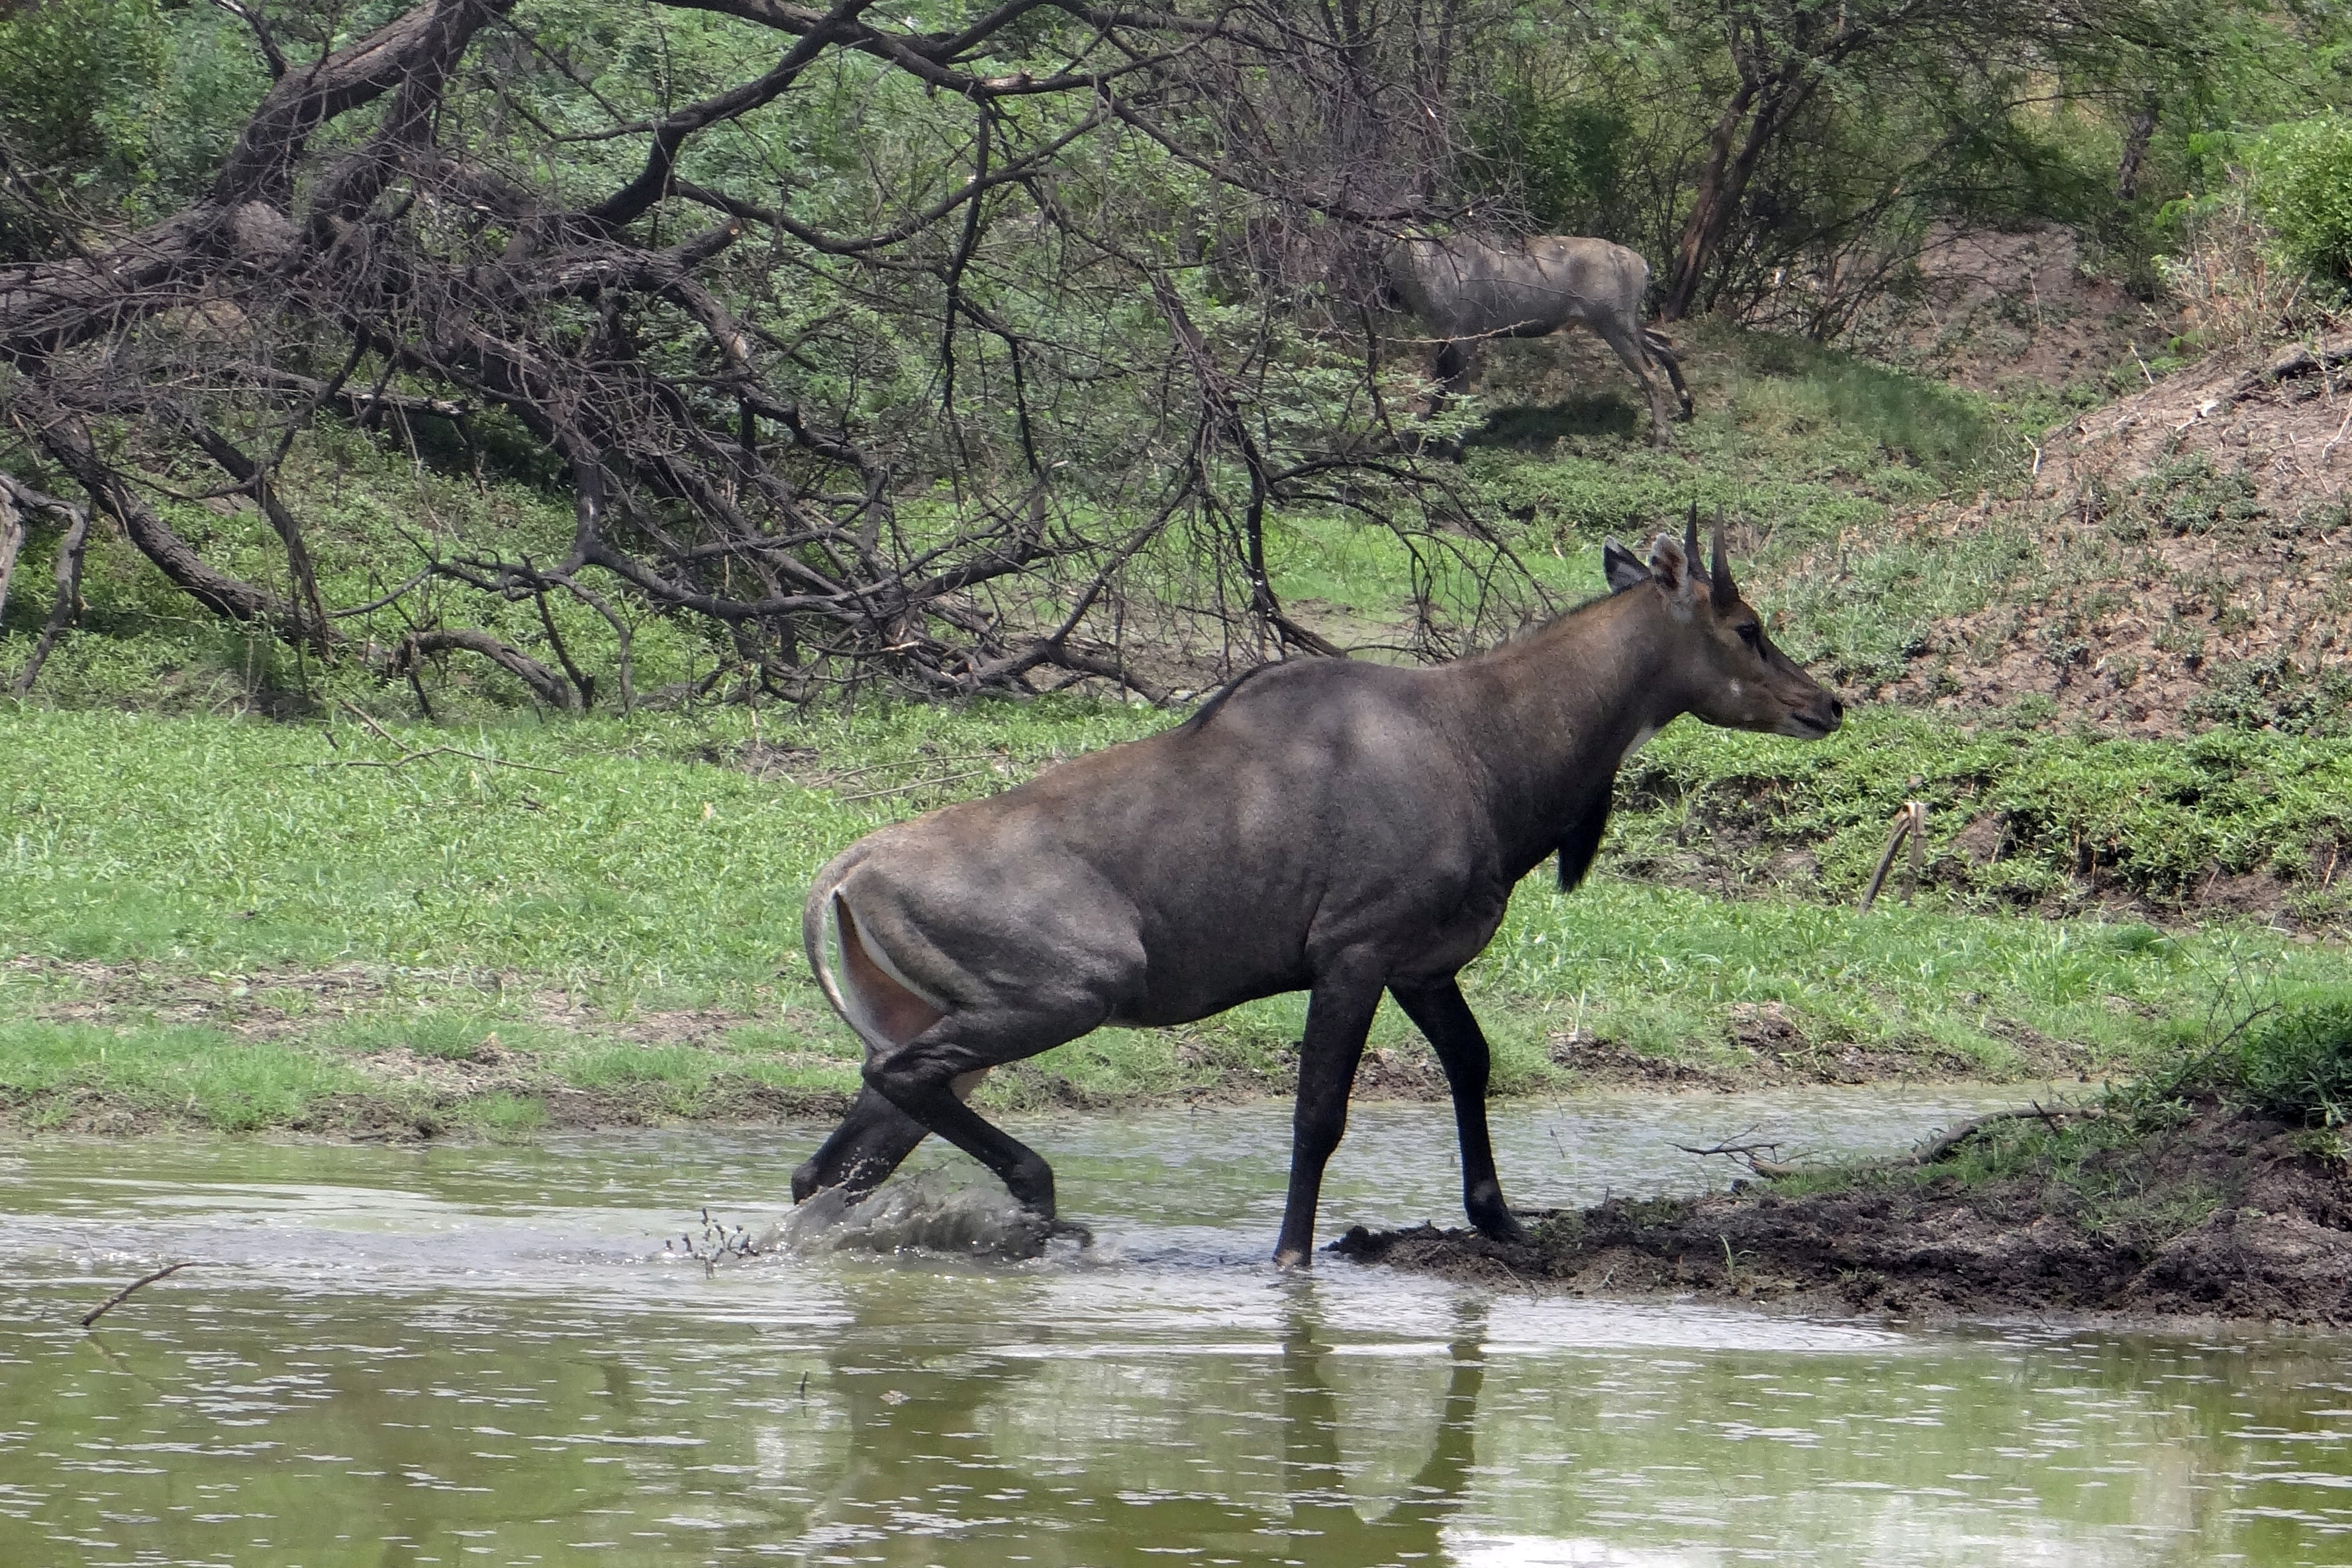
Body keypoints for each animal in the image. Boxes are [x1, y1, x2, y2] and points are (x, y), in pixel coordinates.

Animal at [794, 515, 1841, 1264]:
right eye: (1748, 627)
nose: (1826, 702)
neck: (1483, 744)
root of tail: (842, 877)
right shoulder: (1356, 952)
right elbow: (1319, 1113)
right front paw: (1292, 1256)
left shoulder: (1424, 965)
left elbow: (1473, 1064)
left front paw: (1502, 1223)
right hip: (1072, 991)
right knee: (891, 1090)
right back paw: (1045, 1204)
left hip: (943, 1017)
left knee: (834, 1162)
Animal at [1386, 233, 1693, 449]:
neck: (1426, 271)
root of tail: (1643, 266)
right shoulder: (1444, 336)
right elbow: (1440, 387)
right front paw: (1427, 436)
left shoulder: (1466, 334)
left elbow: (1457, 390)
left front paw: (1451, 448)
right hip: (1618, 322)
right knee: (1664, 344)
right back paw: (1686, 408)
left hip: (1612, 322)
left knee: (1649, 373)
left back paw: (1661, 439)